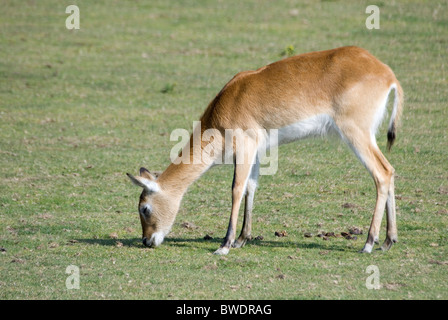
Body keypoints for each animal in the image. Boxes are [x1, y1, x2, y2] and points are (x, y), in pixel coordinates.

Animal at [126, 45, 402, 255]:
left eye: (144, 208)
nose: (147, 241)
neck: (225, 107)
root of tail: (387, 74)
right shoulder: (256, 153)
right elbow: (251, 187)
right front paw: (241, 239)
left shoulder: (244, 148)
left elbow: (236, 189)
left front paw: (224, 245)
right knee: (390, 170)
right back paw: (388, 241)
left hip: (356, 134)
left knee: (381, 174)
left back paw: (369, 243)